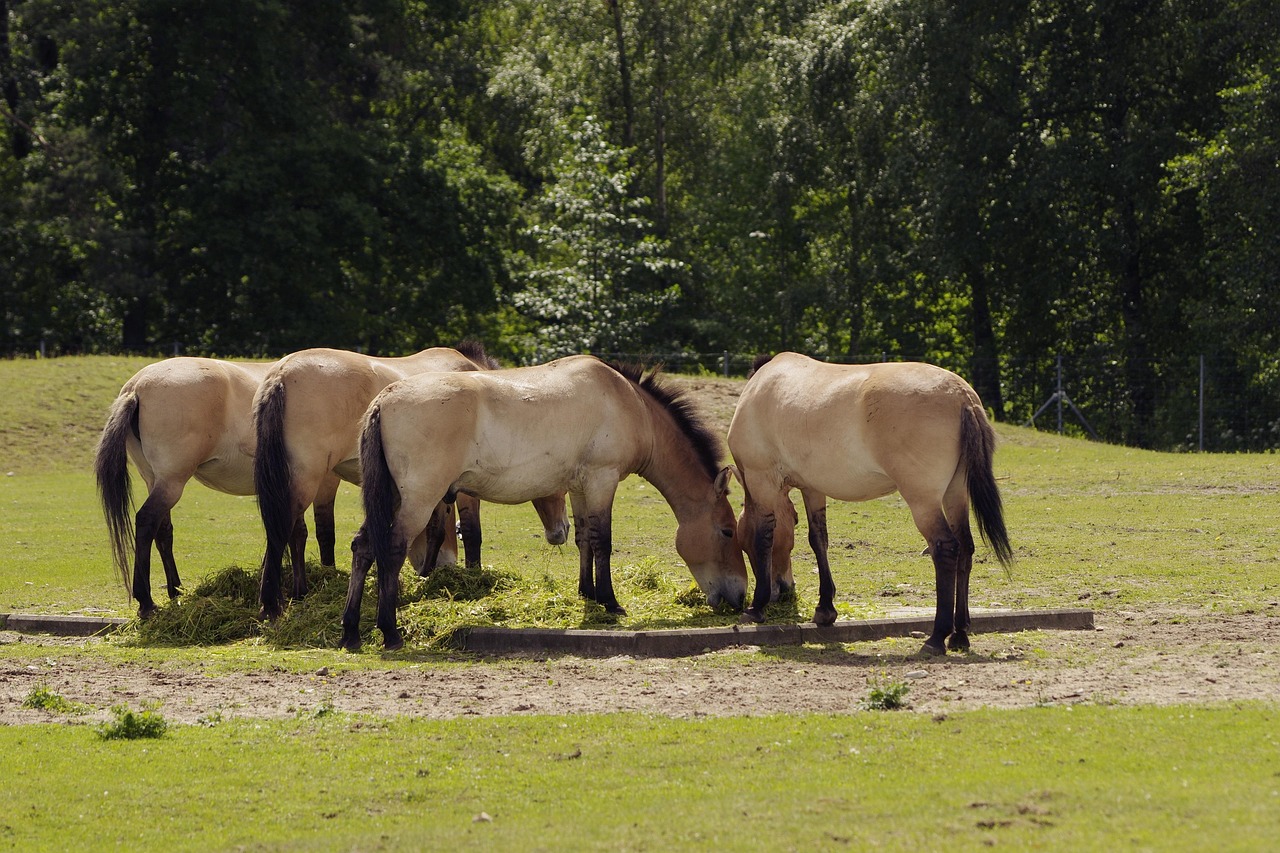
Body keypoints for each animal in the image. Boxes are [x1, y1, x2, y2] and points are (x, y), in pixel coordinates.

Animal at [94, 357, 319, 619]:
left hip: (156, 481)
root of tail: (136, 386)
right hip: (172, 482)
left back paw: (176, 590)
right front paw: (297, 591)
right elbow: (296, 533)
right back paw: (146, 602)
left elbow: (289, 532)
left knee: (163, 530)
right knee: (146, 522)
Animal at [252, 342, 570, 620]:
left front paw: (429, 572)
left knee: (287, 532)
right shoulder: (460, 489)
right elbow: (467, 532)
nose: (561, 531)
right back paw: (271, 604)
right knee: (281, 530)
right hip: (306, 481)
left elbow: (436, 531)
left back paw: (292, 594)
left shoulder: (438, 490)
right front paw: (468, 573)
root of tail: (281, 374)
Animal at [342, 355, 748, 651]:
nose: (740, 596)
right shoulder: (602, 480)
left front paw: (588, 593)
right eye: (728, 532)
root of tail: (384, 399)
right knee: (392, 549)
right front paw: (611, 602)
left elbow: (586, 540)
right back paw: (389, 632)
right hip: (418, 500)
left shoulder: (582, 487)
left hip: (392, 499)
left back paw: (350, 632)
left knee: (364, 547)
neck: (630, 405)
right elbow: (604, 542)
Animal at [726, 352, 1014, 656]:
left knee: (946, 549)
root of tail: (961, 396)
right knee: (966, 549)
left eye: (738, 538)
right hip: (955, 494)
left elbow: (764, 538)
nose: (783, 591)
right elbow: (819, 540)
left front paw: (756, 606)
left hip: (924, 500)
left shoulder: (761, 481)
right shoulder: (813, 488)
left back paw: (936, 637)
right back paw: (959, 634)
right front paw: (825, 608)